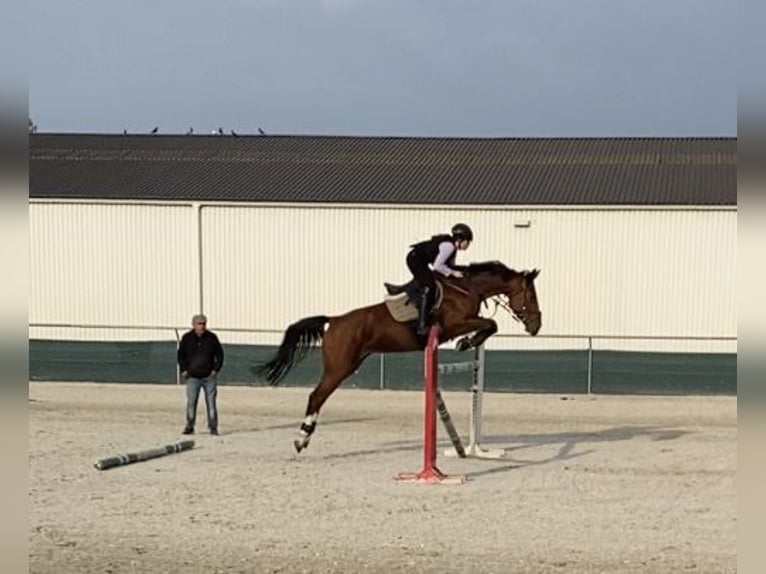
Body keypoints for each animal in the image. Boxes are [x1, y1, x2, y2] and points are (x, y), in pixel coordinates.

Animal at [255, 262, 544, 454]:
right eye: (531, 295)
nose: (536, 326)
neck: (467, 288)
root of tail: (333, 321)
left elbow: (488, 325)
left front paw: (470, 341)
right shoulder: (455, 324)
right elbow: (490, 323)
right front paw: (466, 343)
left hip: (349, 364)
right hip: (339, 367)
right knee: (316, 396)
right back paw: (301, 439)